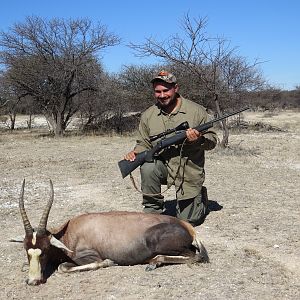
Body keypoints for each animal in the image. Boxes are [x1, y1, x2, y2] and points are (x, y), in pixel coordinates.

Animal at [14, 179, 209, 284]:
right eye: (26, 250)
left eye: (45, 250)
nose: (33, 281)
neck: (70, 232)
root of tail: (188, 227)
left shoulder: (90, 257)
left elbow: (64, 267)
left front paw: (108, 262)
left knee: (195, 256)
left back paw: (154, 262)